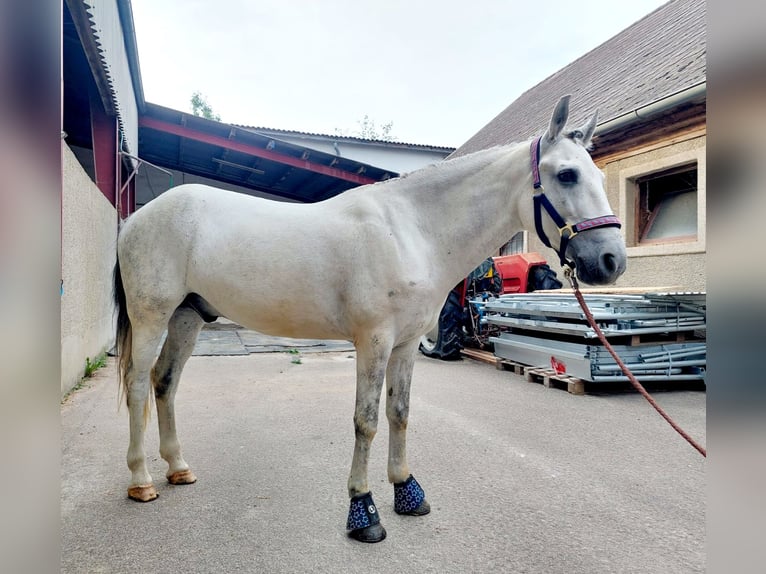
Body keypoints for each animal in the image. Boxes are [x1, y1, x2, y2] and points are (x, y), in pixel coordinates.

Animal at [115, 95, 632, 544]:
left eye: (598, 173)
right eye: (566, 174)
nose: (611, 261)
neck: (411, 230)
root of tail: (139, 217)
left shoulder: (404, 345)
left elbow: (399, 413)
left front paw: (407, 491)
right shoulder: (374, 341)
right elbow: (365, 420)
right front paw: (363, 511)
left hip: (187, 317)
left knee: (165, 383)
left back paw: (178, 468)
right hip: (152, 317)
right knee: (139, 385)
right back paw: (141, 480)